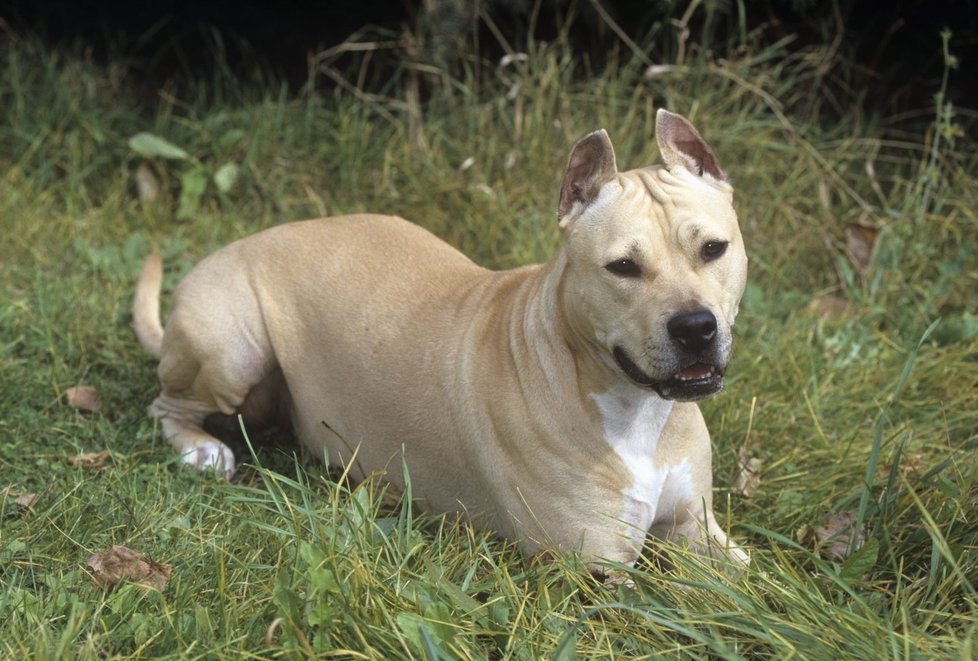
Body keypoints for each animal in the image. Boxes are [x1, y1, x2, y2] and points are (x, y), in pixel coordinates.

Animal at [132, 108, 748, 568]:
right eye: (622, 267)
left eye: (713, 248)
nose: (695, 327)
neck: (636, 408)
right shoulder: (594, 571)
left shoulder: (700, 530)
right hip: (229, 350)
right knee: (164, 405)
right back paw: (203, 450)